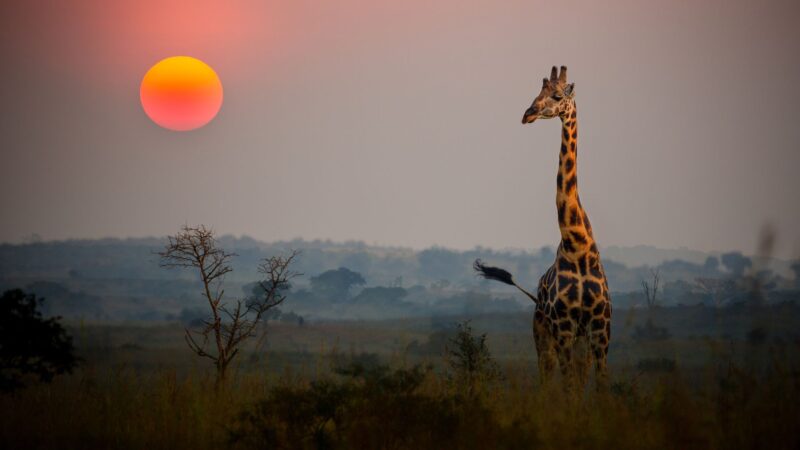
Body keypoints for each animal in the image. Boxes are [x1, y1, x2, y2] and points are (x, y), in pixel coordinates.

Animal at [476, 65, 612, 388]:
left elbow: (600, 388)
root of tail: (534, 293)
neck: (578, 247)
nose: (528, 113)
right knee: (547, 382)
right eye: (537, 91)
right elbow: (569, 389)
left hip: (580, 340)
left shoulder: (600, 330)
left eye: (558, 95)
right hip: (543, 334)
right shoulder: (562, 328)